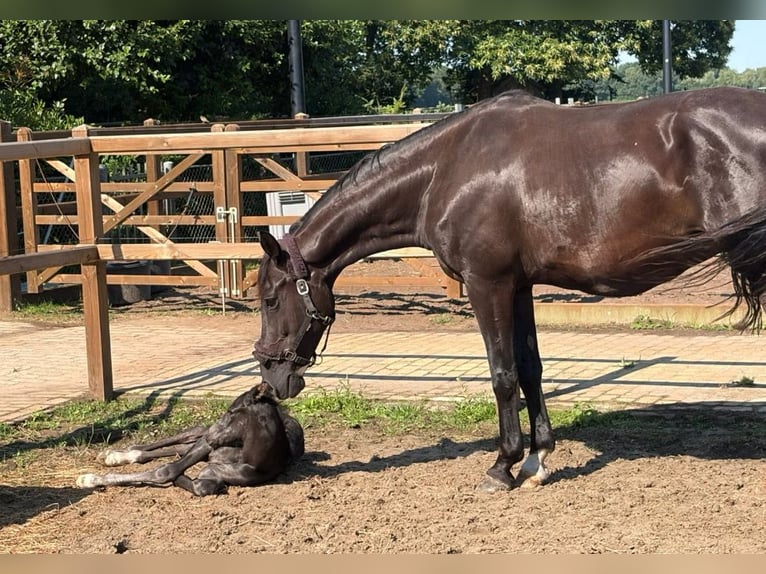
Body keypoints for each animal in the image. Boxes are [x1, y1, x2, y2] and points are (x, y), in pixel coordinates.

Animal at [76, 383, 304, 496]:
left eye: (231, 411)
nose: (212, 434)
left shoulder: (212, 472)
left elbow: (200, 485)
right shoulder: (207, 446)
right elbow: (166, 470)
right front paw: (89, 479)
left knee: (182, 447)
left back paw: (116, 456)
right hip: (201, 438)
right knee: (188, 435)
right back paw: (115, 454)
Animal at [253, 86, 766, 492]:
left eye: (270, 300)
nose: (272, 379)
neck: (444, 169)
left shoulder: (488, 284)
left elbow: (502, 375)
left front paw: (503, 465)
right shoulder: (518, 287)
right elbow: (530, 368)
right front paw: (537, 460)